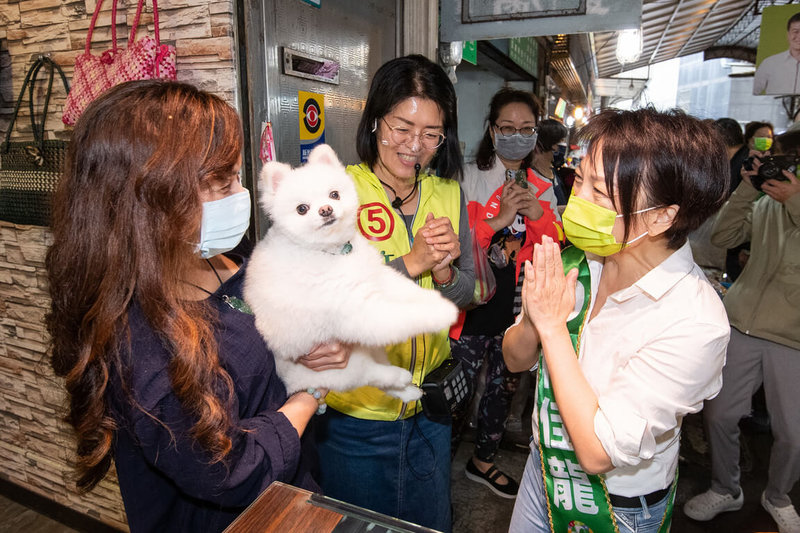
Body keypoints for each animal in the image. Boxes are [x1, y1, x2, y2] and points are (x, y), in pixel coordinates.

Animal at [242, 143, 456, 402]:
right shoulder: (357, 310)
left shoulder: (374, 276)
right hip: (341, 367)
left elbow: (404, 289)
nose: (325, 210)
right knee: (373, 375)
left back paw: (408, 391)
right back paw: (400, 377)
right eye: (302, 209)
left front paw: (433, 300)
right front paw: (442, 313)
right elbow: (402, 315)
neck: (334, 252)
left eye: (334, 194)